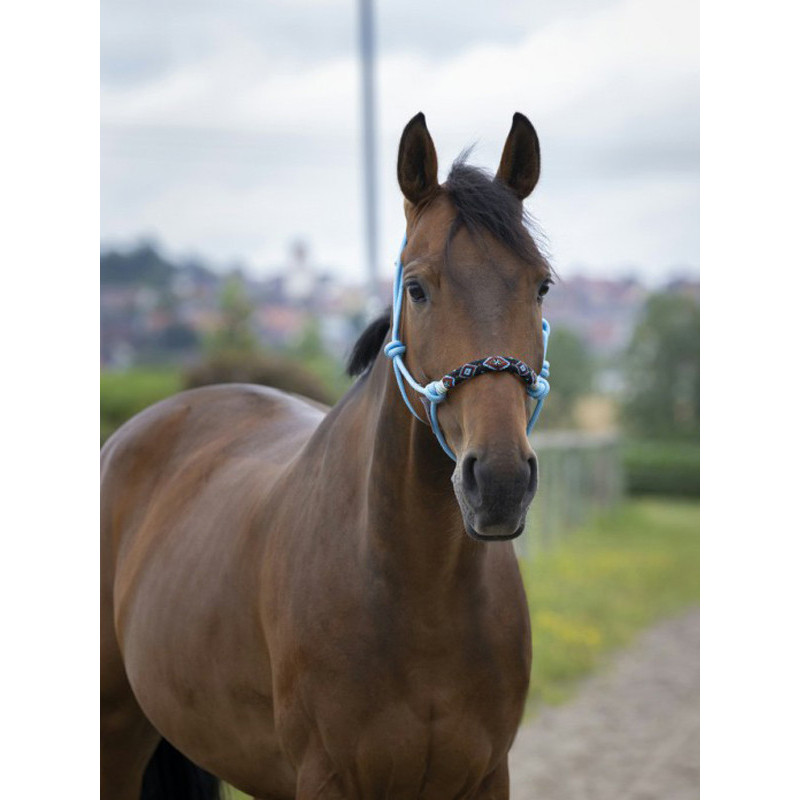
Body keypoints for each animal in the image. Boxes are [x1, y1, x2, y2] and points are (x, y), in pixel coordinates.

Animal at [100, 111, 554, 800]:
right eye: (417, 288)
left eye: (542, 286)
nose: (499, 481)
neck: (419, 595)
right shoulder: (327, 777)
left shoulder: (485, 776)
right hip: (116, 737)